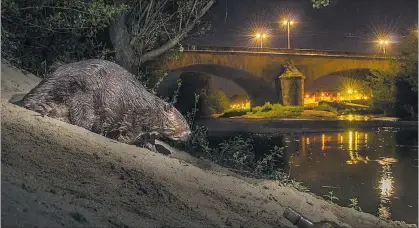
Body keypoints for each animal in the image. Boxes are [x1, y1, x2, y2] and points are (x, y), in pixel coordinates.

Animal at [18, 58, 192, 151]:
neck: (151, 105)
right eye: (183, 120)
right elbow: (132, 132)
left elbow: (149, 138)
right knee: (81, 119)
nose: (189, 133)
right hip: (83, 95)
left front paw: (152, 147)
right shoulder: (138, 117)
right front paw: (123, 140)